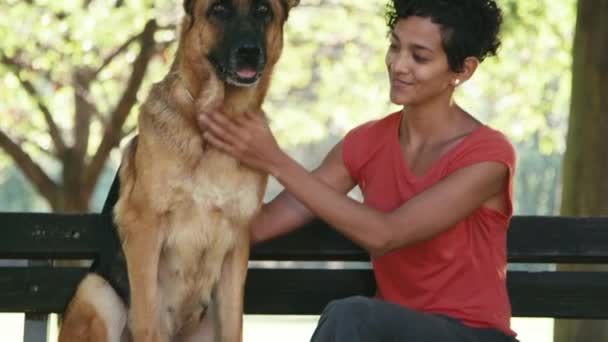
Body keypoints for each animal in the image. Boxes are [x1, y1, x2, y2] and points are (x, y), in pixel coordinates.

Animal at [58, 1, 300, 340]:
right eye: (219, 10)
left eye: (263, 10)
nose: (249, 52)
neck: (213, 121)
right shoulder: (143, 227)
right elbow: (146, 320)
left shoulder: (237, 242)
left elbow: (234, 326)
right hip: (97, 291)